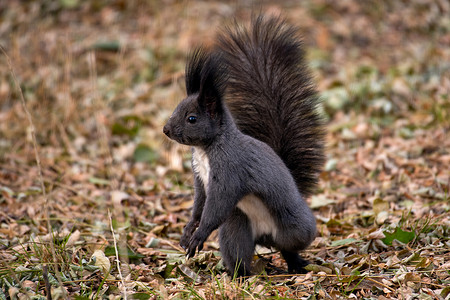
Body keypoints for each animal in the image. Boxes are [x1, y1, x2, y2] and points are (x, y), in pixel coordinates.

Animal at [163, 15, 326, 276]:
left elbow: (216, 205)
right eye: (176, 109)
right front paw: (188, 230)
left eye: (192, 119)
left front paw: (198, 235)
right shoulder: (200, 176)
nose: (166, 130)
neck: (206, 148)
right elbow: (199, 202)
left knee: (290, 245)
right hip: (237, 226)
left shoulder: (230, 170)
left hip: (294, 225)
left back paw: (296, 263)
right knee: (242, 250)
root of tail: (265, 236)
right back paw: (240, 273)